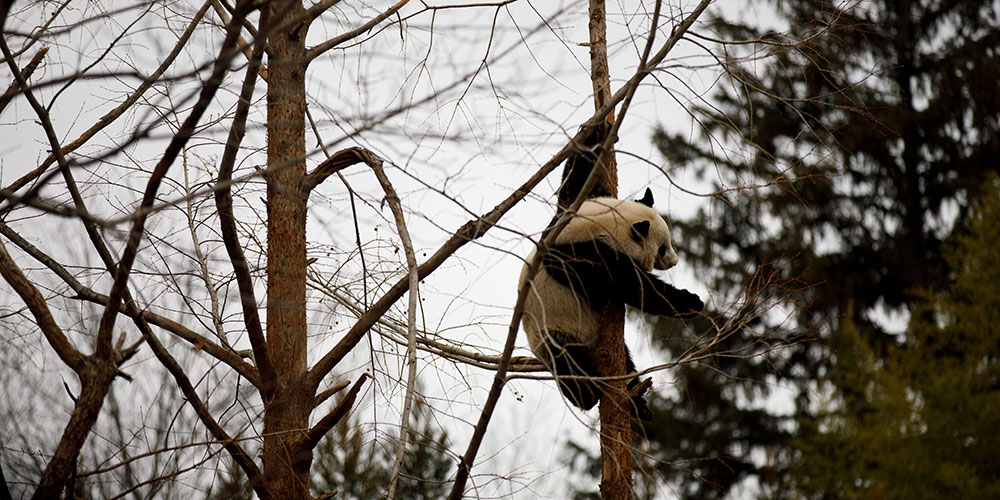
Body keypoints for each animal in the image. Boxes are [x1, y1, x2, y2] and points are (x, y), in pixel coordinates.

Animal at [520, 189, 708, 420]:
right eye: (662, 249)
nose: (675, 261)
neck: (603, 221)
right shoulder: (577, 252)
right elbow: (631, 284)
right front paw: (690, 302)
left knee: (627, 365)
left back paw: (638, 405)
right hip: (555, 329)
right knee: (568, 361)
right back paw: (588, 395)